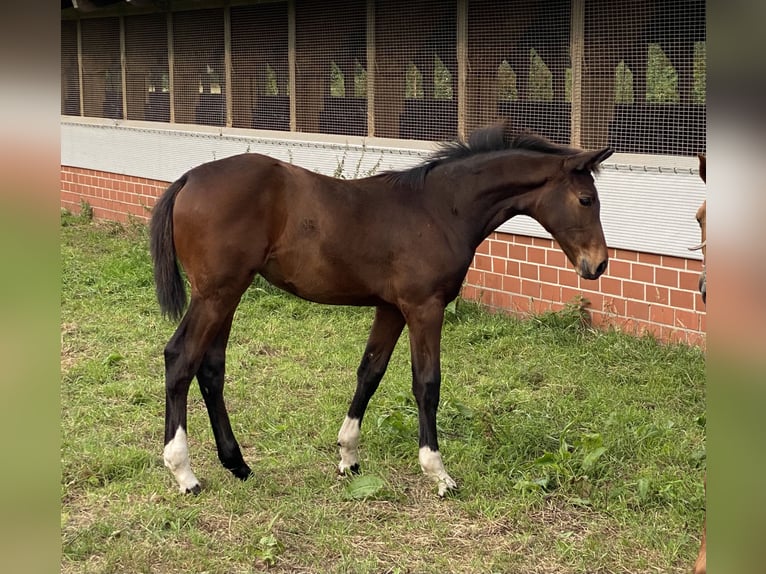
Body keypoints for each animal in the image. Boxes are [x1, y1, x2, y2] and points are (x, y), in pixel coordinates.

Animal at [150, 125, 616, 496]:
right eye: (585, 199)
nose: (598, 264)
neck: (439, 209)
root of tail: (188, 178)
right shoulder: (424, 307)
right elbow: (427, 383)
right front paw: (438, 473)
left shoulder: (391, 308)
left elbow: (369, 372)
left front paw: (348, 456)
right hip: (216, 294)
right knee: (180, 359)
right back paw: (184, 472)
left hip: (228, 294)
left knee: (212, 369)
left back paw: (238, 464)